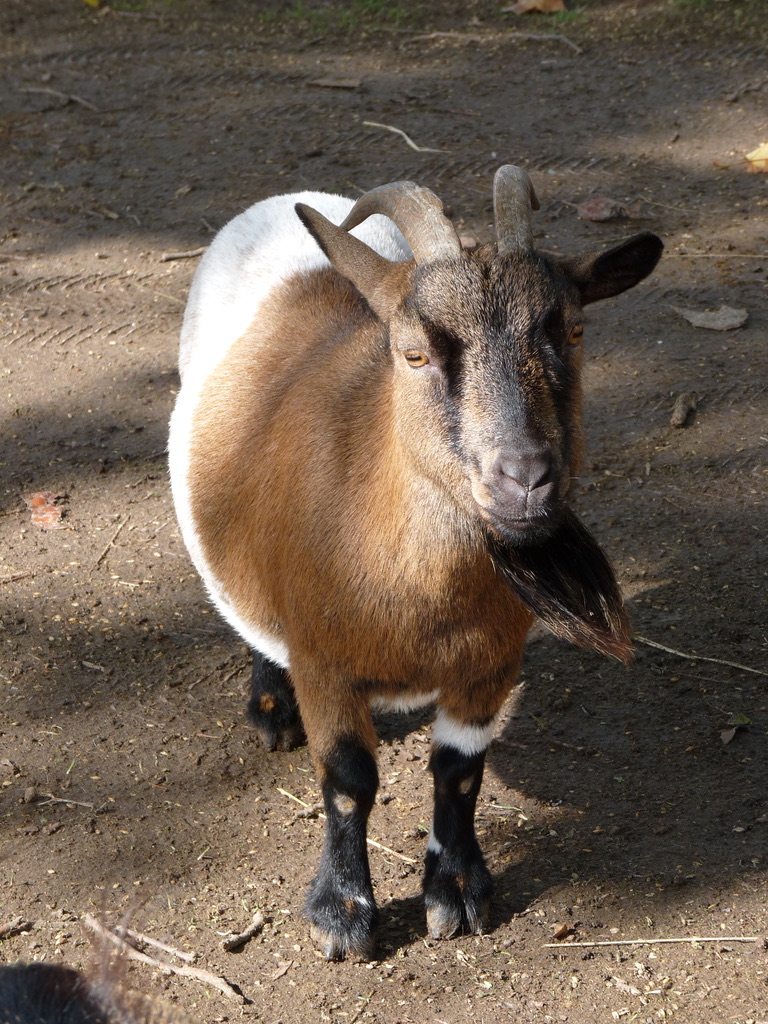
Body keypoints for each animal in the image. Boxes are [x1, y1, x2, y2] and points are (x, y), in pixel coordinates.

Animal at [167, 165, 663, 958]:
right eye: (414, 352)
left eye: (576, 330)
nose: (525, 478)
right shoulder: (325, 661)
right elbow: (348, 780)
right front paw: (342, 913)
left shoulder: (490, 666)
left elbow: (458, 772)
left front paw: (456, 892)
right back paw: (272, 710)